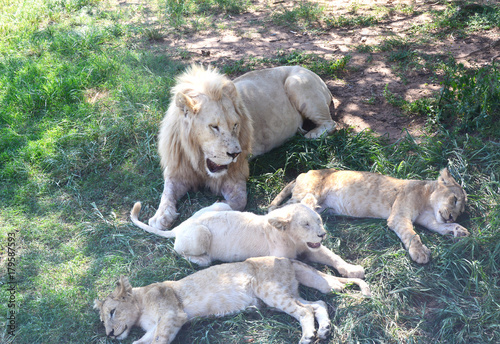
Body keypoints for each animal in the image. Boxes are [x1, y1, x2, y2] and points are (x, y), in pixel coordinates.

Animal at [95, 256, 372, 342]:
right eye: (102, 321)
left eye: (112, 312)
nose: (109, 334)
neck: (141, 304)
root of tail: (286, 258)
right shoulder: (157, 325)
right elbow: (140, 342)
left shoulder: (173, 316)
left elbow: (157, 340)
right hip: (286, 293)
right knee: (317, 304)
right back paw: (323, 330)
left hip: (269, 291)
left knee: (305, 311)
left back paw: (308, 337)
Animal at [130, 195, 364, 278]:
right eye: (305, 224)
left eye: (319, 220)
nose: (322, 234)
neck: (293, 239)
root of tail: (180, 227)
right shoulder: (281, 258)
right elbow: (309, 268)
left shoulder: (310, 247)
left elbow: (332, 256)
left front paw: (353, 270)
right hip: (200, 234)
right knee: (179, 250)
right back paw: (204, 259)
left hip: (222, 205)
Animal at [147, 66, 336, 230]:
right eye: (214, 127)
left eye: (235, 125)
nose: (235, 154)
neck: (197, 158)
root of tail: (310, 72)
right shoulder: (177, 170)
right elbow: (167, 192)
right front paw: (160, 217)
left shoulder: (235, 175)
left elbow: (237, 202)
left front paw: (209, 210)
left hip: (295, 82)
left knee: (331, 124)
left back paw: (310, 135)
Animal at [270, 169, 468, 264]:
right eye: (455, 199)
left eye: (461, 212)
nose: (453, 217)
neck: (428, 202)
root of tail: (304, 172)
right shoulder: (399, 216)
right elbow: (412, 235)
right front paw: (420, 253)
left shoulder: (428, 219)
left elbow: (440, 226)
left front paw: (458, 231)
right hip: (307, 194)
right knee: (279, 210)